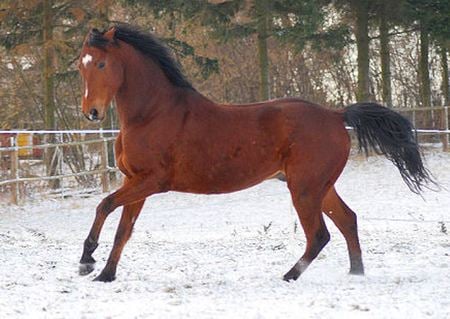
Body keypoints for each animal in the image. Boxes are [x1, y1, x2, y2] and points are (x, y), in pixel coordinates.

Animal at [77, 26, 432, 284]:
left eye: (102, 63)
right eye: (81, 63)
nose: (91, 112)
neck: (152, 114)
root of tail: (336, 115)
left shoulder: (152, 181)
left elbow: (104, 205)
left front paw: (86, 261)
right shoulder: (135, 182)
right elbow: (123, 229)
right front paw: (105, 275)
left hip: (305, 189)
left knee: (319, 235)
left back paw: (289, 276)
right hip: (320, 187)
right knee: (348, 221)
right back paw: (356, 274)